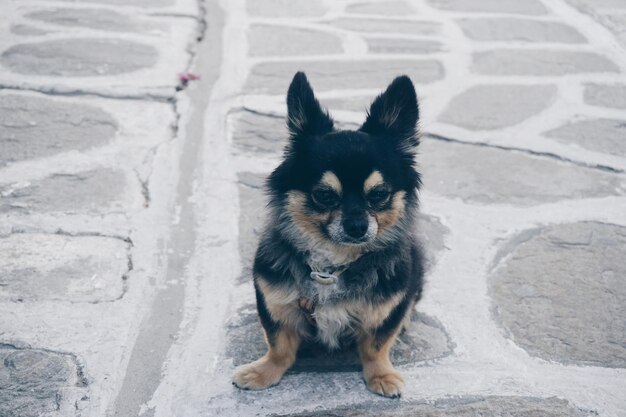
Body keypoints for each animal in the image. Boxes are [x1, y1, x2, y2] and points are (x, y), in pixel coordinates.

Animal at [232, 73, 422, 398]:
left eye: (379, 195)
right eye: (324, 195)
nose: (357, 227)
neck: (331, 267)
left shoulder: (388, 306)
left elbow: (376, 345)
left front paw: (381, 375)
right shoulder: (274, 301)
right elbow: (279, 345)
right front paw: (264, 371)